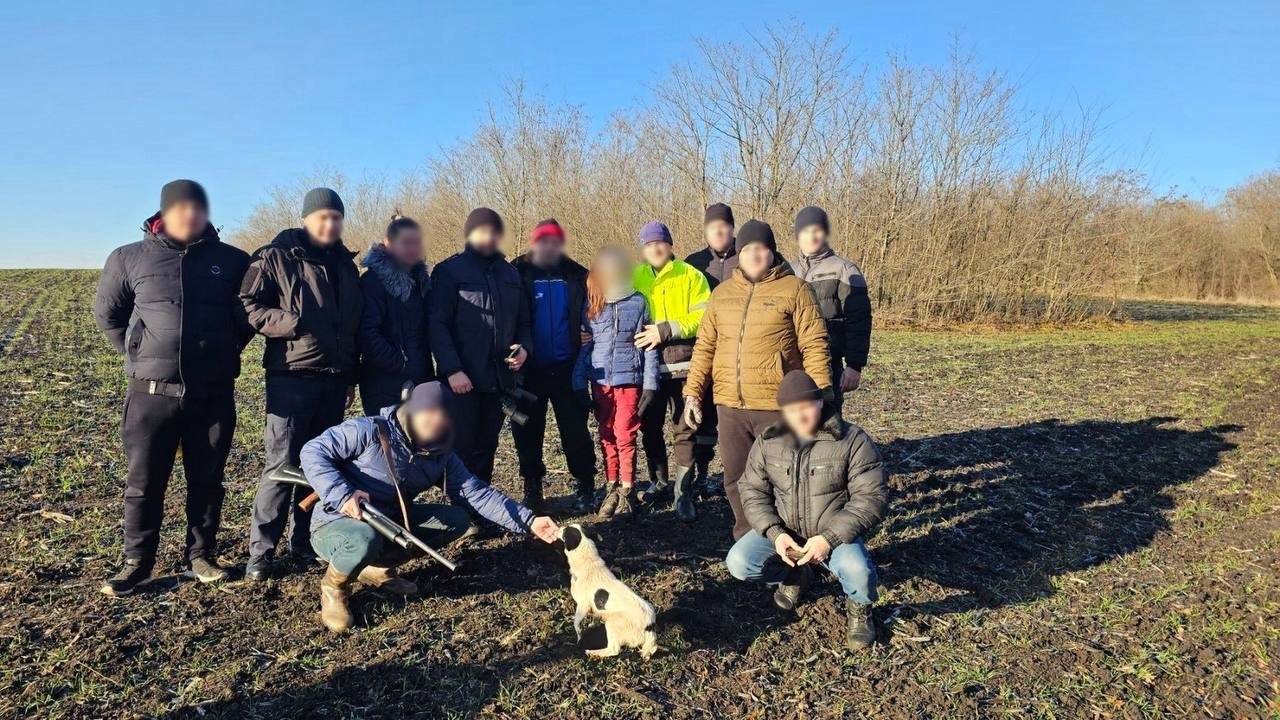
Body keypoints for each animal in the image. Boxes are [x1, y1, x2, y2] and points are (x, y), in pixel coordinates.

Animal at [560, 520, 660, 655]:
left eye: (565, 530)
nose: (559, 527)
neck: (588, 562)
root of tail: (649, 626)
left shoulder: (582, 606)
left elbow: (576, 624)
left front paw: (579, 637)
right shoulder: (595, 608)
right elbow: (595, 618)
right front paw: (591, 626)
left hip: (612, 624)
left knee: (614, 650)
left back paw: (593, 653)